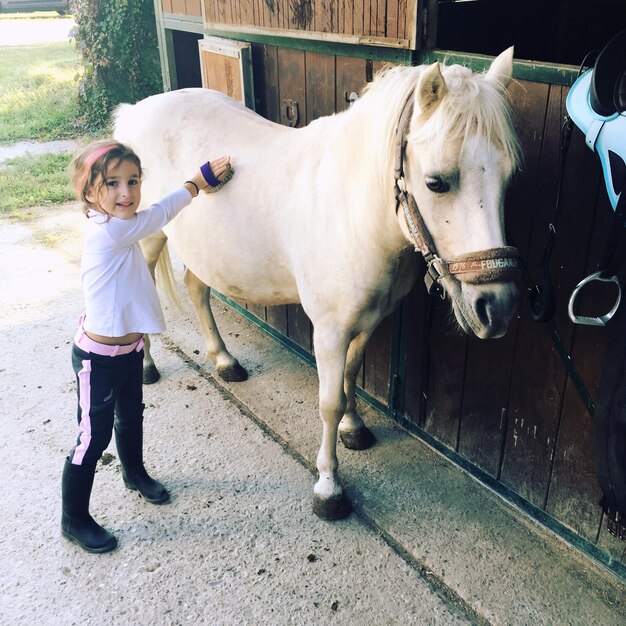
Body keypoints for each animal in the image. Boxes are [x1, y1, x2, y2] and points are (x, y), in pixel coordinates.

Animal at [114, 47, 520, 516]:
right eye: (437, 182)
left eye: (509, 177)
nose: (496, 307)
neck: (353, 211)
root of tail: (136, 110)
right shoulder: (329, 330)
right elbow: (329, 401)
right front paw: (328, 487)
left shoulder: (368, 321)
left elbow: (350, 377)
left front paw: (355, 429)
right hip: (147, 239)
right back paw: (146, 367)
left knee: (198, 291)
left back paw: (224, 361)